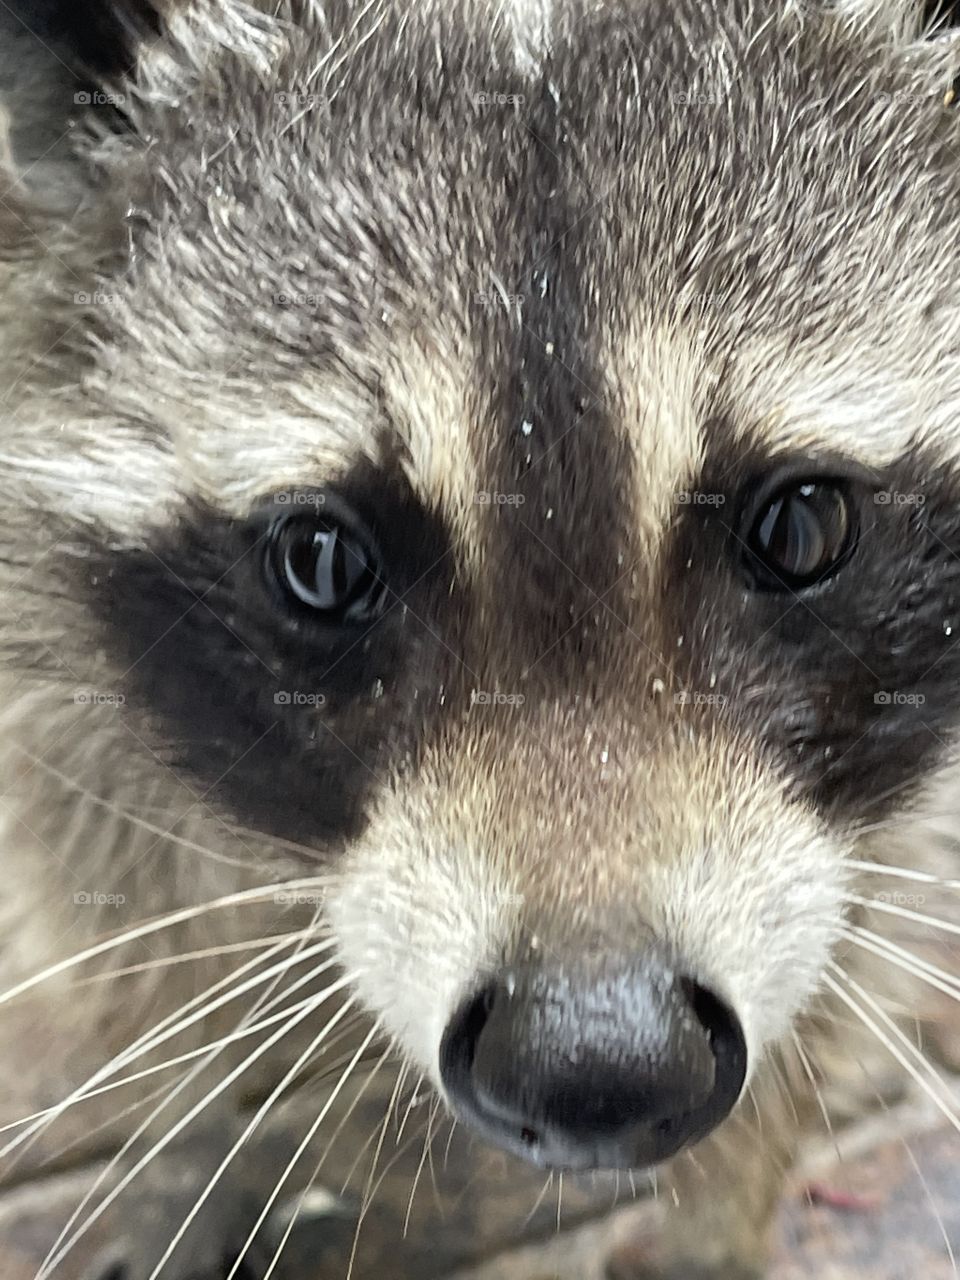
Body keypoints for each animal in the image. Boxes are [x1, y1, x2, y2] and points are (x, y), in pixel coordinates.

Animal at [2, 0, 960, 1276]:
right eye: (324, 560)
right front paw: (206, 1139)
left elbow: (860, 901)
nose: (596, 1060)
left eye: (803, 524)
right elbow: (121, 885)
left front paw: (725, 1201)